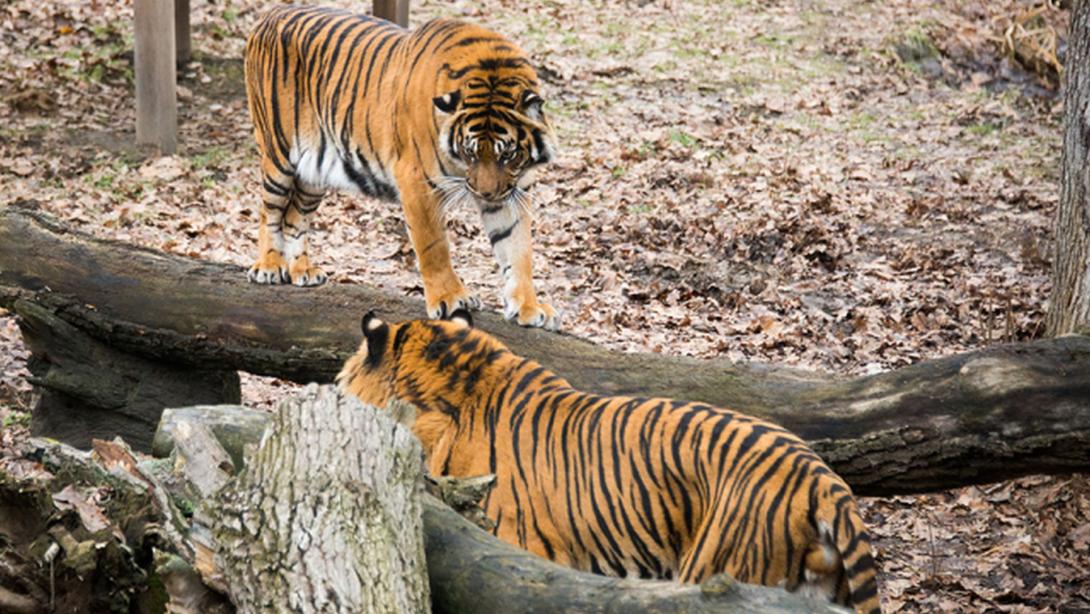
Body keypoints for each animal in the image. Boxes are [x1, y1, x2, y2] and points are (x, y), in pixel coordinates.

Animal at [244, 5, 562, 331]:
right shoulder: (417, 181)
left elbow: (518, 250)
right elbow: (434, 246)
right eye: (470, 153)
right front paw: (450, 299)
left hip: (313, 174)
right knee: (269, 211)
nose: (485, 195)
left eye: (507, 155)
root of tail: (274, 12)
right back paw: (269, 267)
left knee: (295, 217)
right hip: (278, 155)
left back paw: (303, 271)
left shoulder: (513, 192)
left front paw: (528, 307)